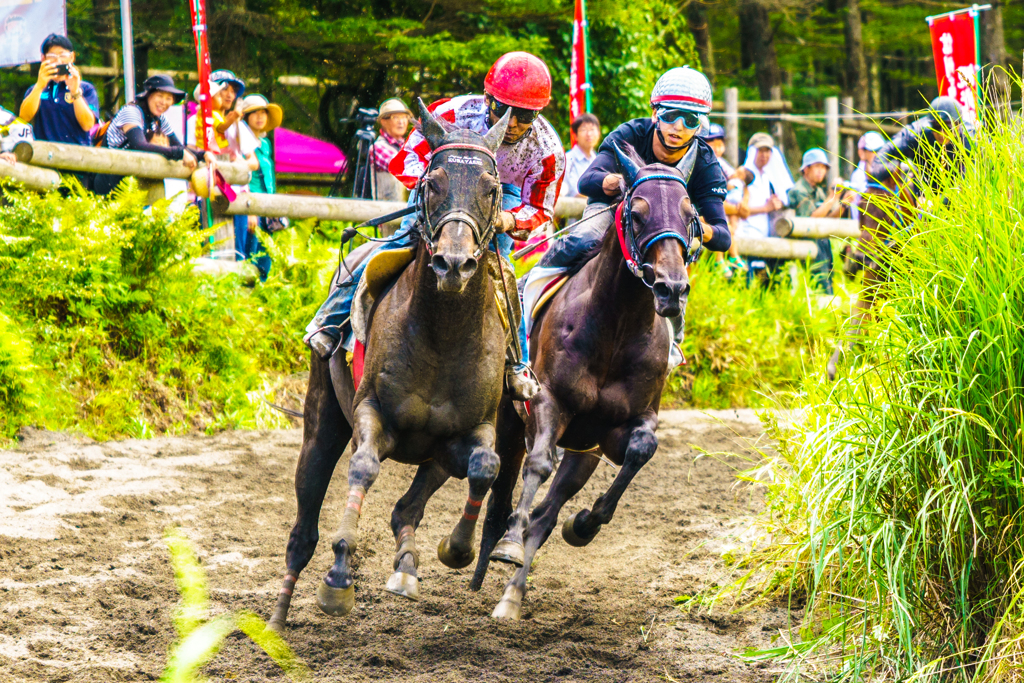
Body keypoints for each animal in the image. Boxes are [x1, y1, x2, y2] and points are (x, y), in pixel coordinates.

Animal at [270, 101, 516, 630]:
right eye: (432, 182)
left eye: (492, 187)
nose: (454, 264)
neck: (443, 336)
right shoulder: (372, 414)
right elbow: (363, 467)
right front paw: (338, 577)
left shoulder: (474, 429)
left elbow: (485, 466)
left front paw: (456, 548)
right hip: (322, 420)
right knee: (303, 530)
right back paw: (277, 621)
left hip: (434, 455)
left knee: (406, 509)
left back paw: (406, 568)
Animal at [468, 144, 696, 618]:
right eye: (637, 212)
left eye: (690, 213)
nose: (671, 288)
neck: (616, 326)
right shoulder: (548, 403)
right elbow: (538, 463)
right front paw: (509, 543)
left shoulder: (622, 425)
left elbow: (641, 449)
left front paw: (585, 524)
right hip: (509, 423)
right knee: (501, 493)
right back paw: (486, 561)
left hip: (582, 452)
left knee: (546, 513)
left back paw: (512, 596)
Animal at [827, 174, 917, 382]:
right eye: (860, 212)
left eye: (888, 209)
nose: (861, 258)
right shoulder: (869, 292)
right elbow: (855, 324)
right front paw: (833, 368)